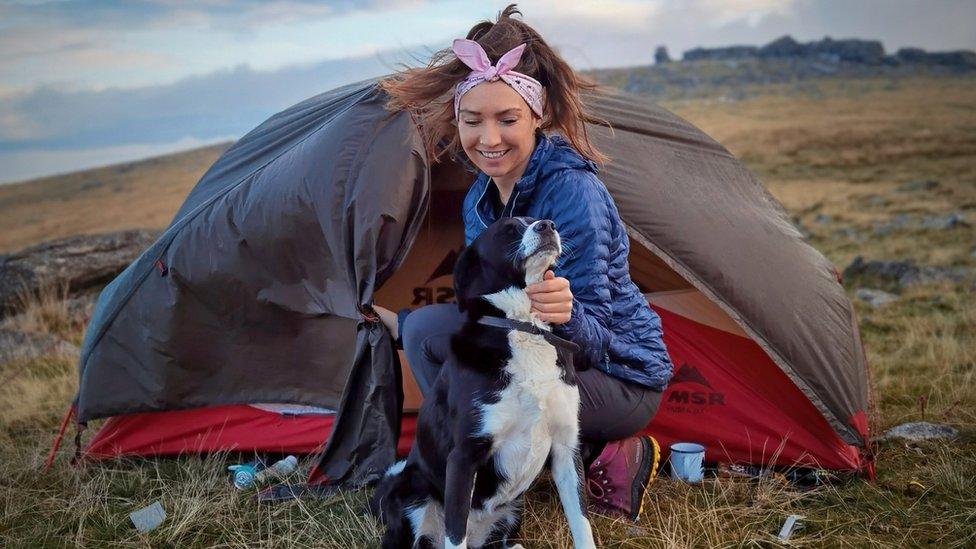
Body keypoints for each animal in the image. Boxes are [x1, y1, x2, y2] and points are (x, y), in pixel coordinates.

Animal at [370, 216, 596, 544]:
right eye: (508, 229)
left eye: (535, 220)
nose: (548, 225)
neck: (522, 326)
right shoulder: (464, 456)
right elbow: (455, 535)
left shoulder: (567, 448)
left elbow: (582, 524)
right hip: (413, 491)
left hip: (513, 508)